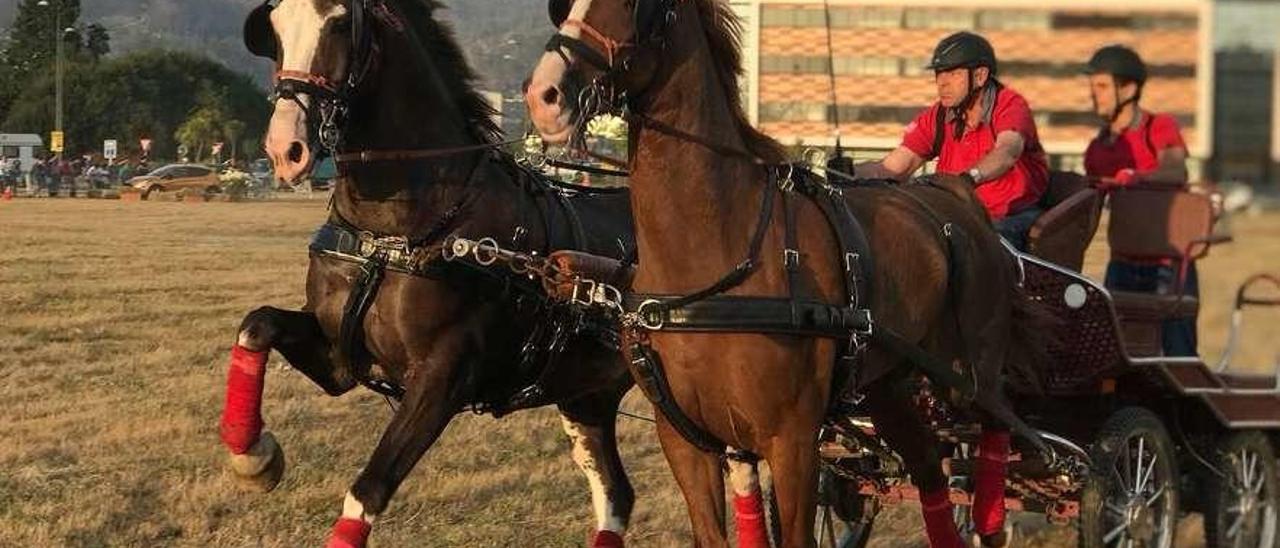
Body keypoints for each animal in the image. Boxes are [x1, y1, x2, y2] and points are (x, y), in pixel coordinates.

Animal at [225, 2, 640, 545]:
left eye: (341, 23)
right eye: (273, 30)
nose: (284, 148)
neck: (397, 235)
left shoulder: (443, 378)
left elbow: (367, 491)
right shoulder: (340, 358)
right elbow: (257, 324)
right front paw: (254, 456)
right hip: (588, 392)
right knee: (616, 495)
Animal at [524, 2, 1044, 545]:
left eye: (639, 8)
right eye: (562, 8)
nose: (544, 95)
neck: (717, 261)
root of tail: (955, 192)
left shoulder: (792, 441)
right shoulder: (685, 441)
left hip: (969, 375)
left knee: (997, 425)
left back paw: (991, 517)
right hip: (887, 383)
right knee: (928, 466)